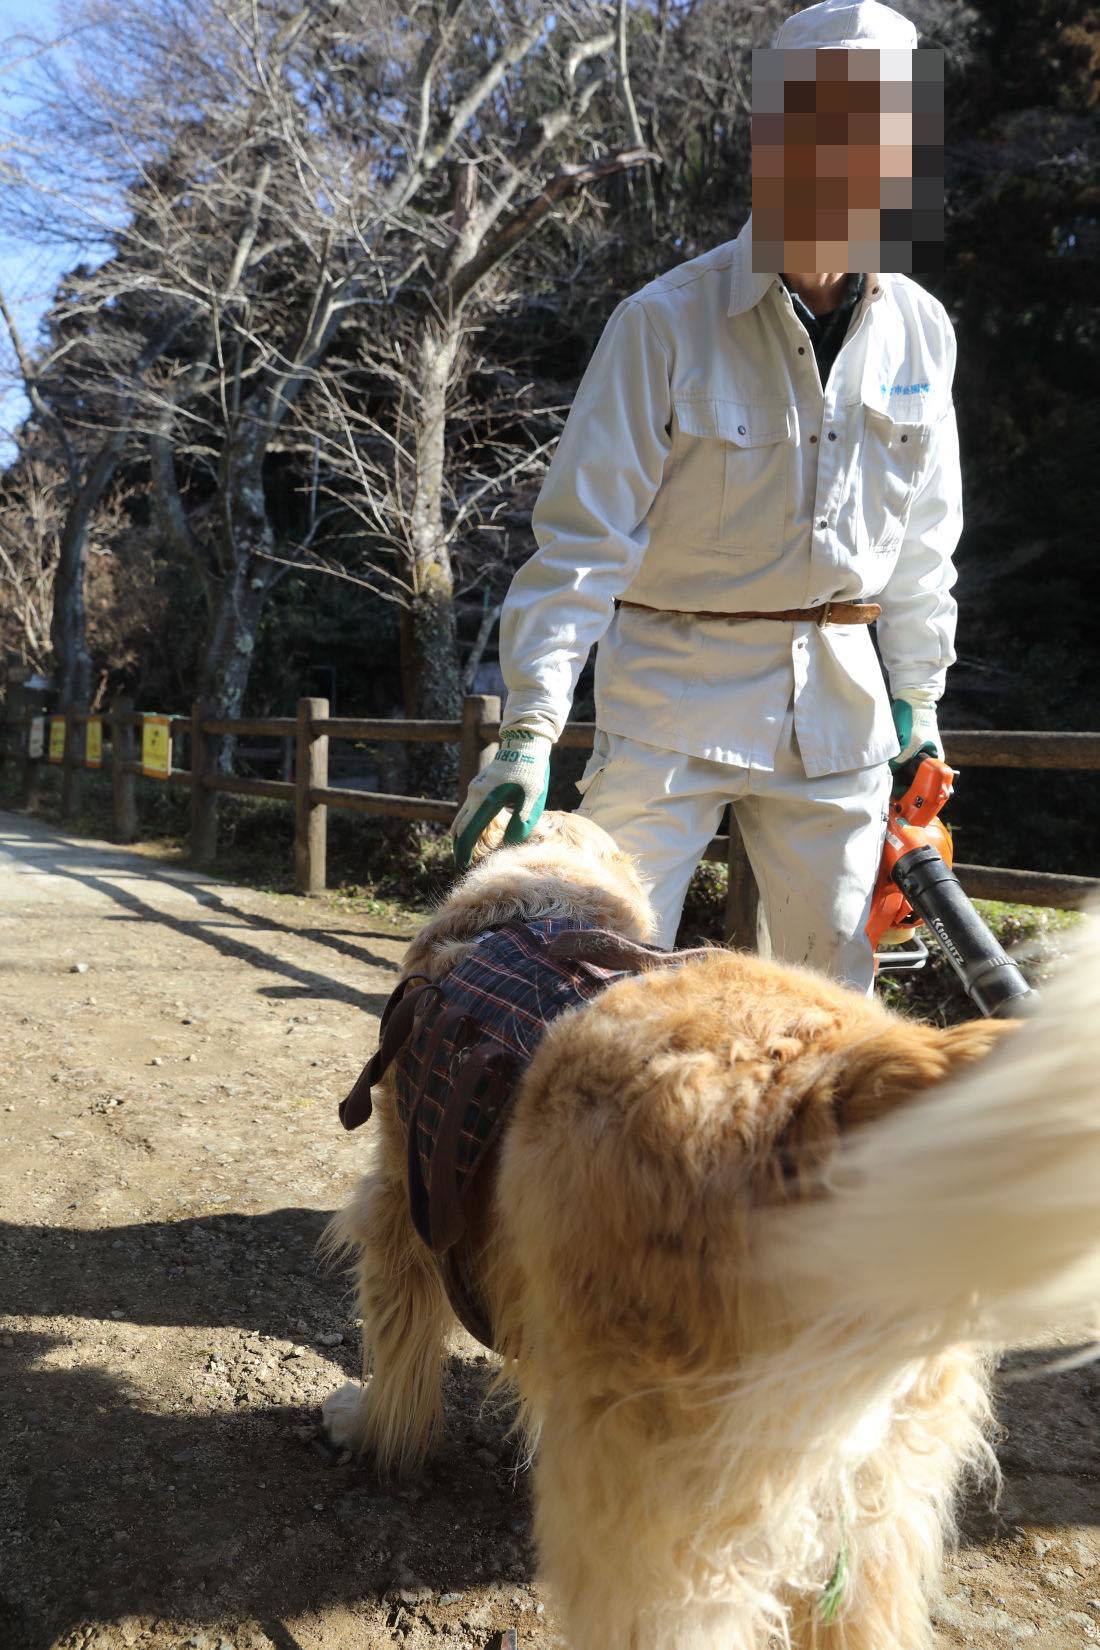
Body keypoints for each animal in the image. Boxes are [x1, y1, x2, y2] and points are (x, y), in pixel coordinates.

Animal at [323, 811, 1100, 1650]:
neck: (543, 895)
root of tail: (832, 1086)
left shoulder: (399, 1200)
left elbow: (396, 1348)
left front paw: (366, 1427)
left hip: (646, 1486)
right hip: (879, 1489)